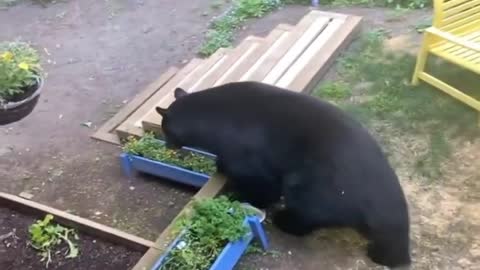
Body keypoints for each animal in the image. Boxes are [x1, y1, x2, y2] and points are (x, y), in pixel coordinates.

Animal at [156, 81, 410, 268]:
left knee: (309, 211)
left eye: (166, 129)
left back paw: (285, 220)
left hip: (318, 184)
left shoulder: (248, 154)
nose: (167, 145)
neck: (211, 118)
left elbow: (261, 184)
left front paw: (241, 195)